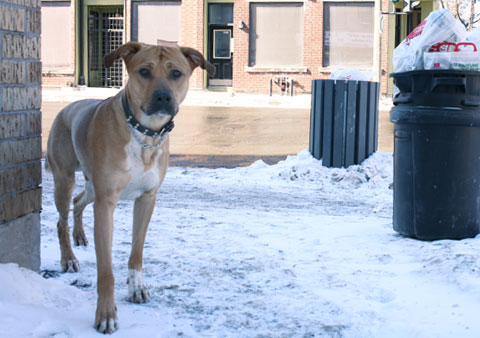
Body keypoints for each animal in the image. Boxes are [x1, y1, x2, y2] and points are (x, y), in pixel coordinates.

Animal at [46, 41, 215, 332]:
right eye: (144, 71)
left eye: (176, 73)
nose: (163, 97)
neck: (144, 135)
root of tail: (66, 109)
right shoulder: (106, 203)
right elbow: (105, 271)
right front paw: (105, 314)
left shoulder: (147, 198)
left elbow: (136, 252)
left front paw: (137, 288)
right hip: (64, 178)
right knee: (62, 218)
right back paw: (68, 258)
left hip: (92, 185)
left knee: (79, 201)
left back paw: (80, 236)